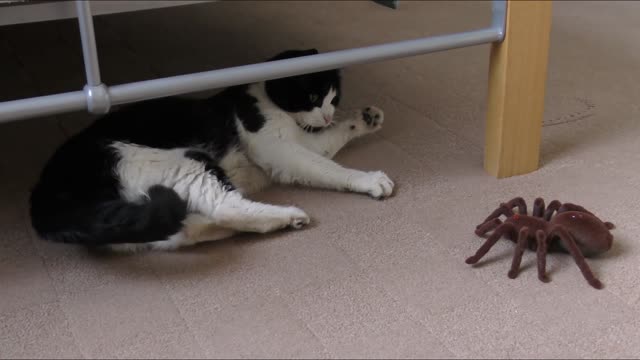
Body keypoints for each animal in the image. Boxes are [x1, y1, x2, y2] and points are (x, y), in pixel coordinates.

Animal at [30, 48, 396, 250]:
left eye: (334, 98)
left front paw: (364, 118)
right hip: (181, 161)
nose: (328, 113)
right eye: (312, 96)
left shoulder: (304, 140)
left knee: (180, 229)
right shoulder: (278, 149)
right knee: (225, 206)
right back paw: (288, 216)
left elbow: (329, 142)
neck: (263, 99)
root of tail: (46, 192)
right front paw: (370, 180)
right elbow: (327, 168)